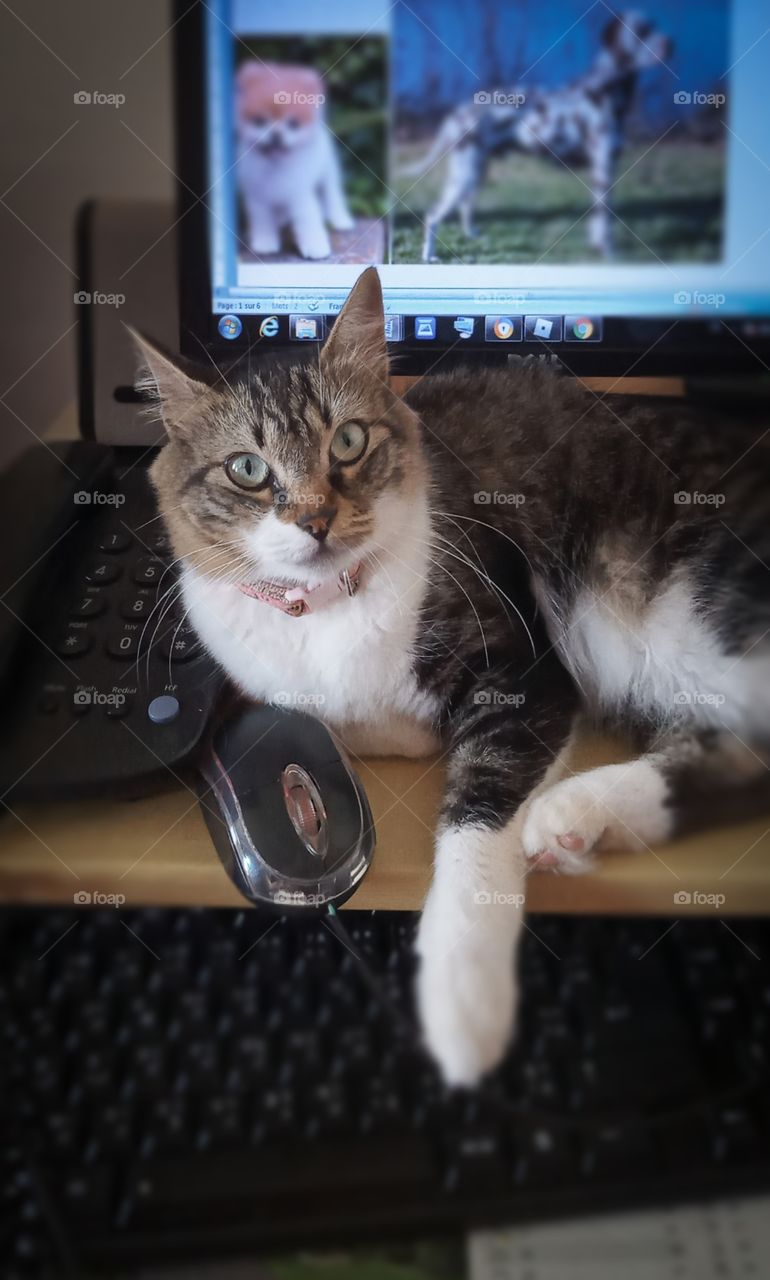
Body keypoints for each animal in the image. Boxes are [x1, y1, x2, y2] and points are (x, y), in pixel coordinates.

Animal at [134, 267, 767, 1080]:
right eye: (247, 469)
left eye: (348, 439)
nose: (315, 520)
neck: (327, 608)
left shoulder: (523, 671)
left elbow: (477, 812)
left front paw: (462, 1004)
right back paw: (582, 817)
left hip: (697, 606)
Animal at [234, 60, 353, 259]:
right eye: (259, 121)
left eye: (293, 124)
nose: (276, 134)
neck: (276, 165)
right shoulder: (258, 196)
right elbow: (263, 221)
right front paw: (265, 243)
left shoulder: (299, 193)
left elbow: (308, 218)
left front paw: (315, 246)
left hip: (327, 173)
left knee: (332, 195)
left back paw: (340, 220)